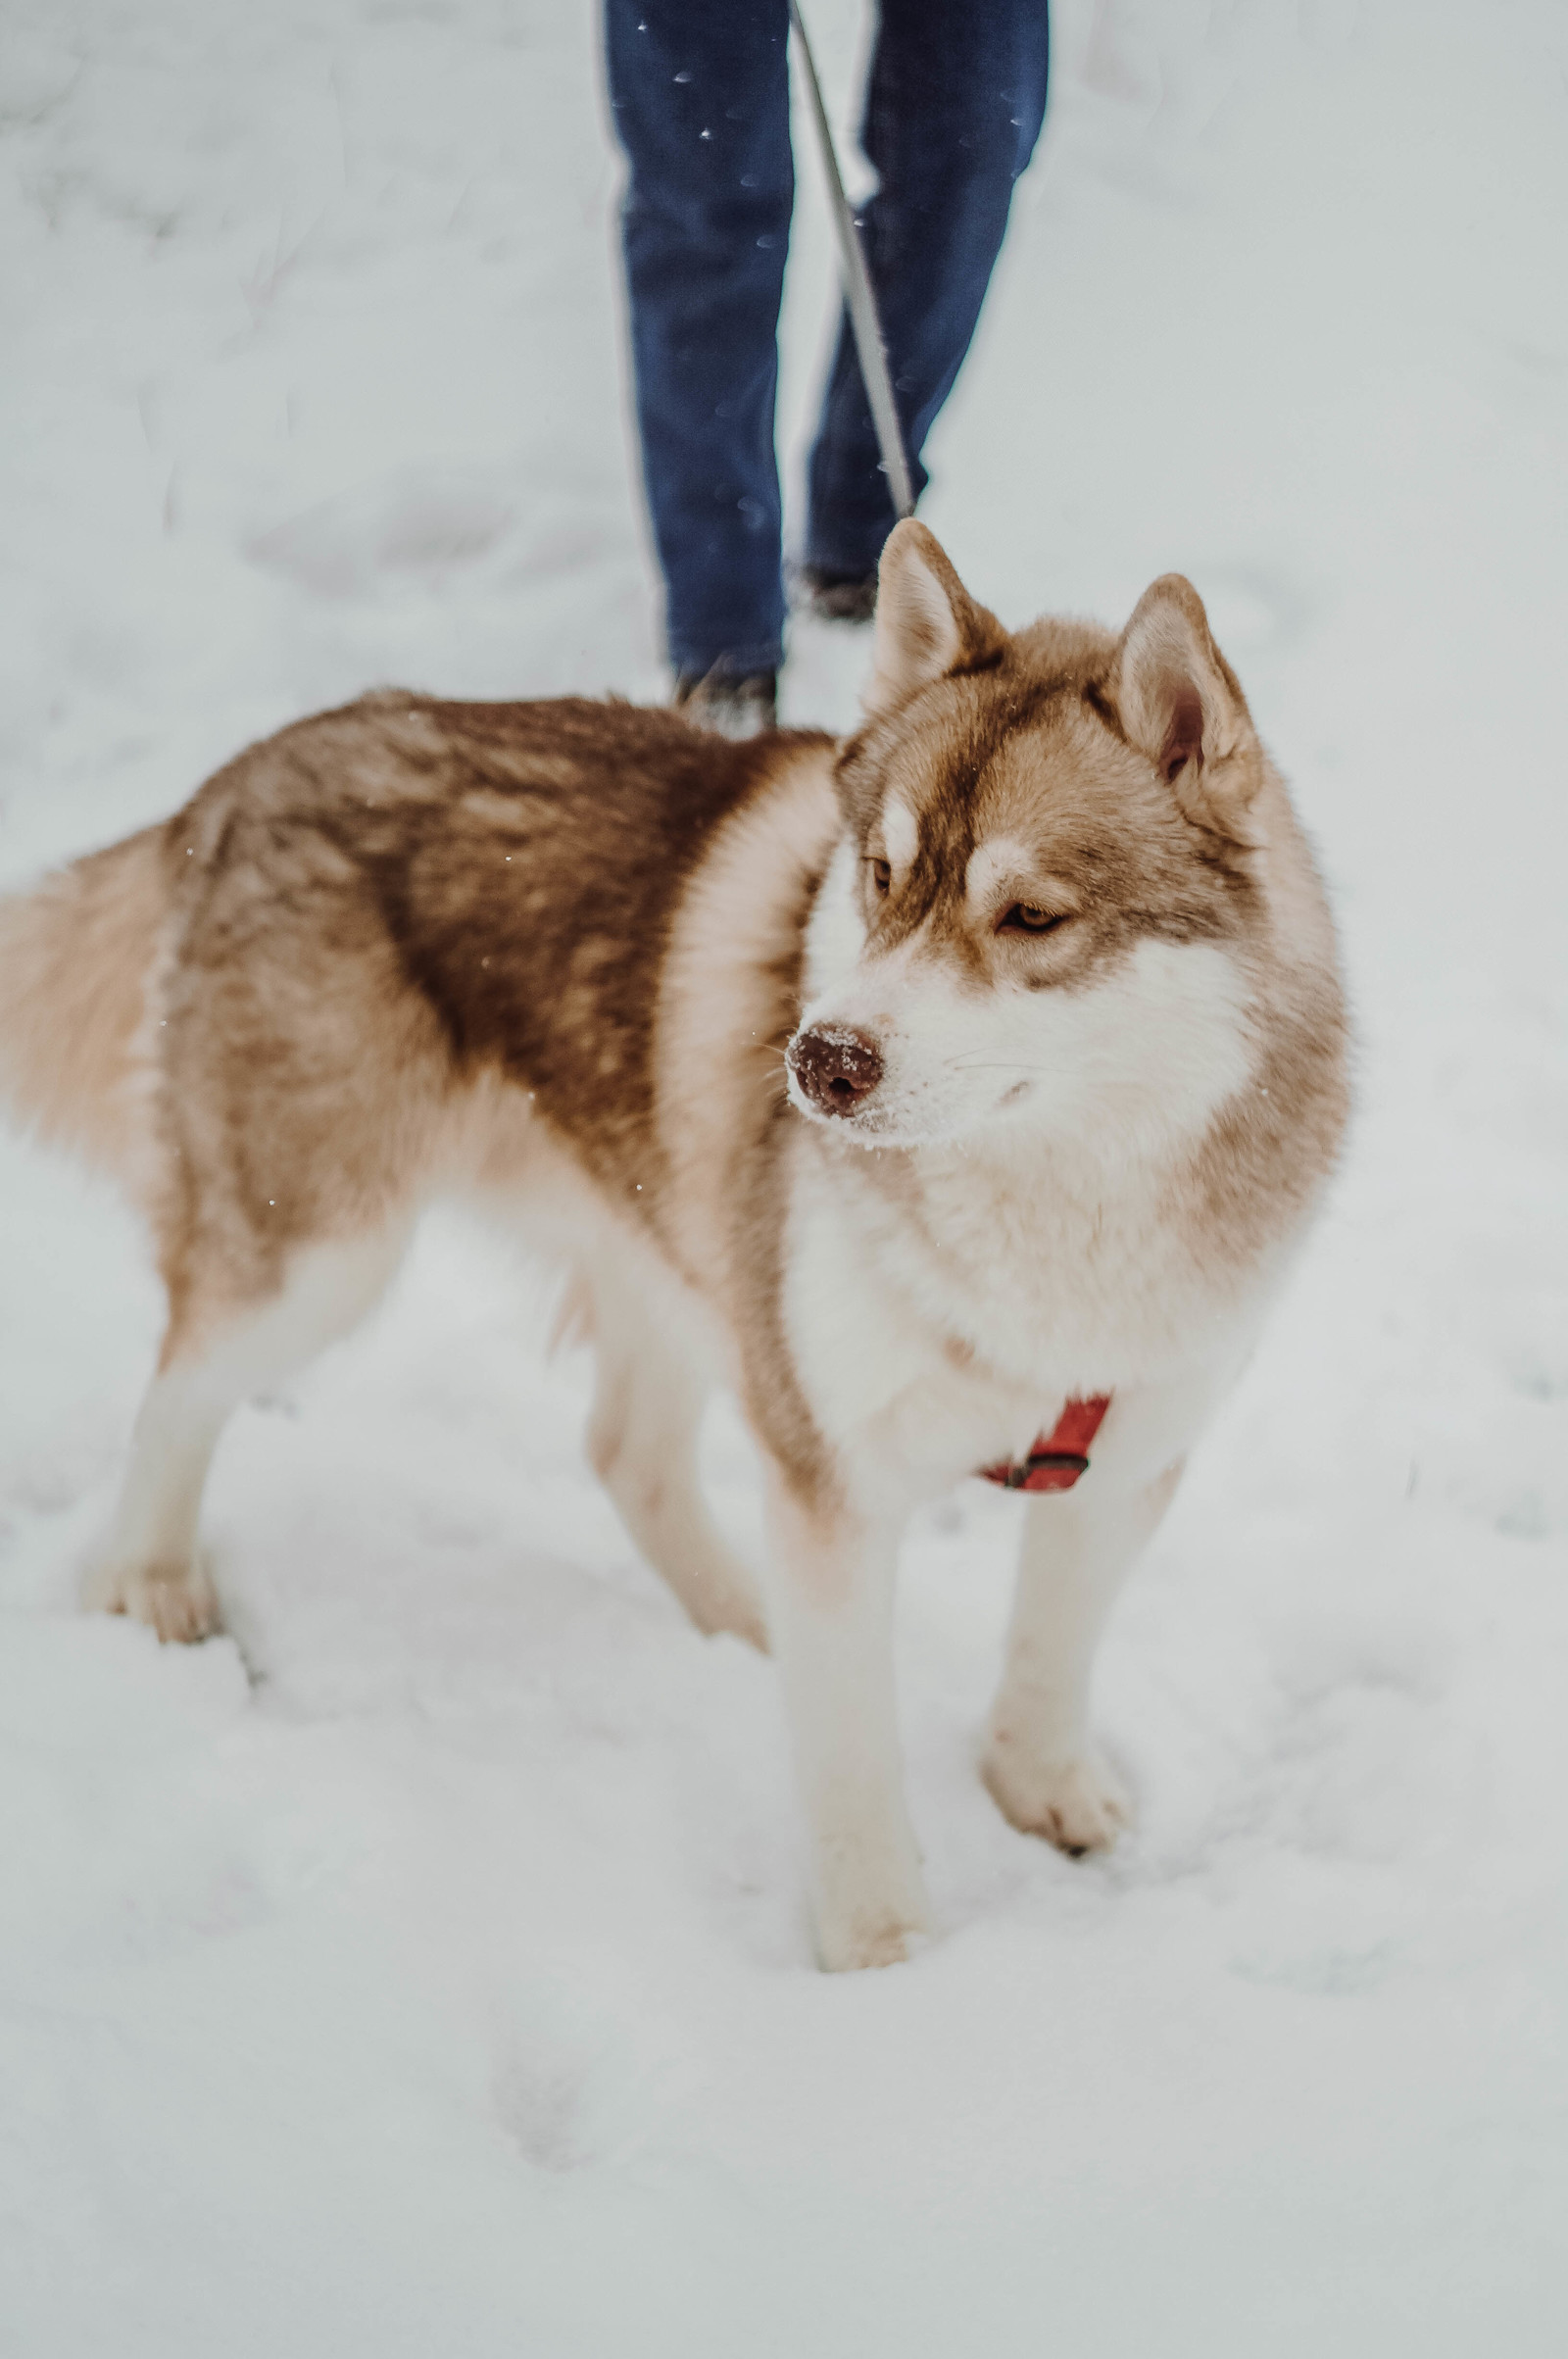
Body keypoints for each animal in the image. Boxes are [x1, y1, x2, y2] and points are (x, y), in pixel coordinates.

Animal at [3, 530, 1348, 1972]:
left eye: (1032, 915)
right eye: (881, 876)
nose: (820, 1060)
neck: (1054, 1211)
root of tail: (254, 768)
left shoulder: (1127, 1449)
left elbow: (1052, 1647)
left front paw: (1034, 1782)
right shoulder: (832, 1474)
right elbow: (850, 1763)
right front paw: (884, 1958)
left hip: (669, 1239)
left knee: (628, 1456)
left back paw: (744, 1622)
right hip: (320, 1255)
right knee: (178, 1389)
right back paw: (148, 1585)